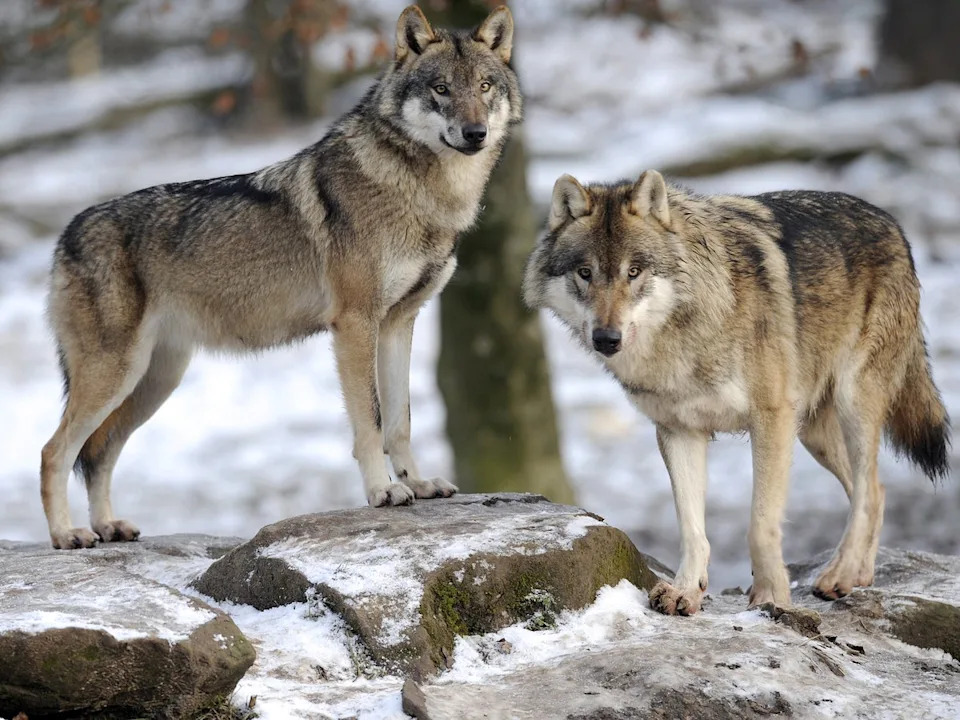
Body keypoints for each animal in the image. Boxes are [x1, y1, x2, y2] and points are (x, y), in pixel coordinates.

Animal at [40, 5, 521, 549]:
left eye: (484, 86)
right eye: (441, 88)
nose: (475, 133)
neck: (425, 196)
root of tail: (67, 234)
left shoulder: (399, 323)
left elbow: (401, 420)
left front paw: (417, 484)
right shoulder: (355, 324)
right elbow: (371, 421)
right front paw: (383, 492)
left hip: (153, 381)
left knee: (100, 451)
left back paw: (108, 526)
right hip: (116, 375)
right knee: (55, 451)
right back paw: (67, 535)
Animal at [523, 169, 950, 614]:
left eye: (634, 271)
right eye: (585, 273)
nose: (607, 338)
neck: (684, 336)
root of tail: (892, 222)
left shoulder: (771, 420)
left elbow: (761, 525)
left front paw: (771, 596)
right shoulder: (679, 430)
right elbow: (691, 527)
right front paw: (686, 590)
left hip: (852, 403)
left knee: (867, 491)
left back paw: (841, 574)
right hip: (813, 433)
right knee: (877, 491)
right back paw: (859, 575)